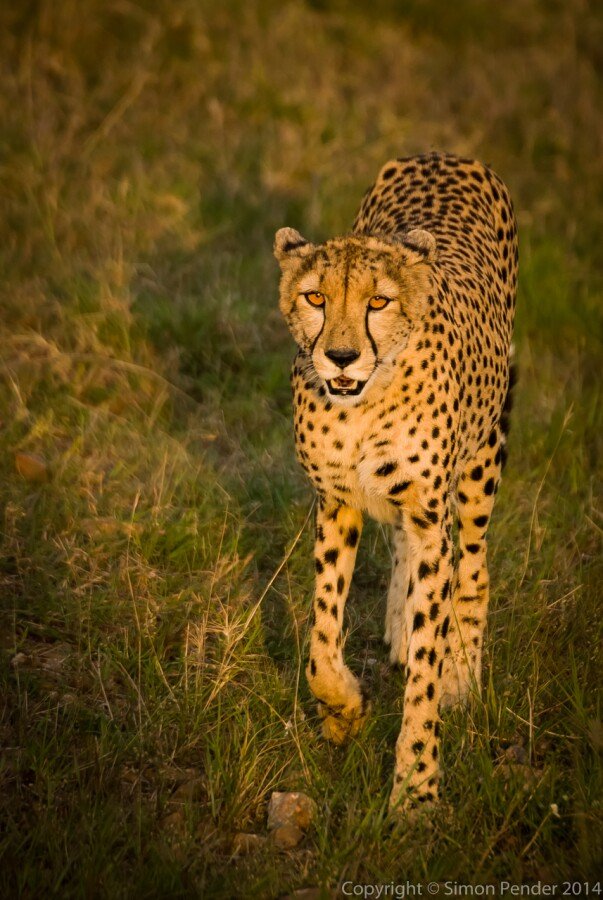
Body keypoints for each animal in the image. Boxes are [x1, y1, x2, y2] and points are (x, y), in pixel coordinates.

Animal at [273, 151, 518, 812]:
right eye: (314, 296)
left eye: (378, 303)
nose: (340, 357)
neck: (363, 404)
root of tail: (445, 154)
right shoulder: (335, 502)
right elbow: (321, 634)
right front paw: (342, 711)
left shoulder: (433, 515)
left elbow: (427, 672)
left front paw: (416, 787)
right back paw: (400, 626)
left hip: (480, 462)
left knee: (474, 569)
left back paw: (462, 674)